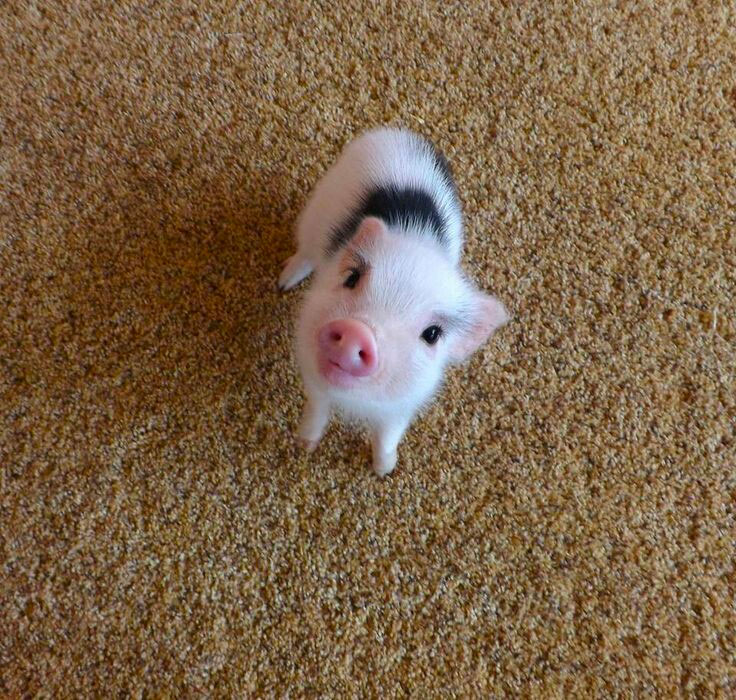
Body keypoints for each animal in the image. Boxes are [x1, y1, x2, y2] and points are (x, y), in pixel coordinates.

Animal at [279, 127, 509, 476]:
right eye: (352, 278)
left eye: (432, 333)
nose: (358, 331)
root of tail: (402, 135)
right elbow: (317, 406)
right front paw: (304, 446)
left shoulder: (406, 402)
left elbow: (389, 433)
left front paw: (384, 470)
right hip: (316, 211)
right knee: (305, 251)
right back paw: (282, 283)